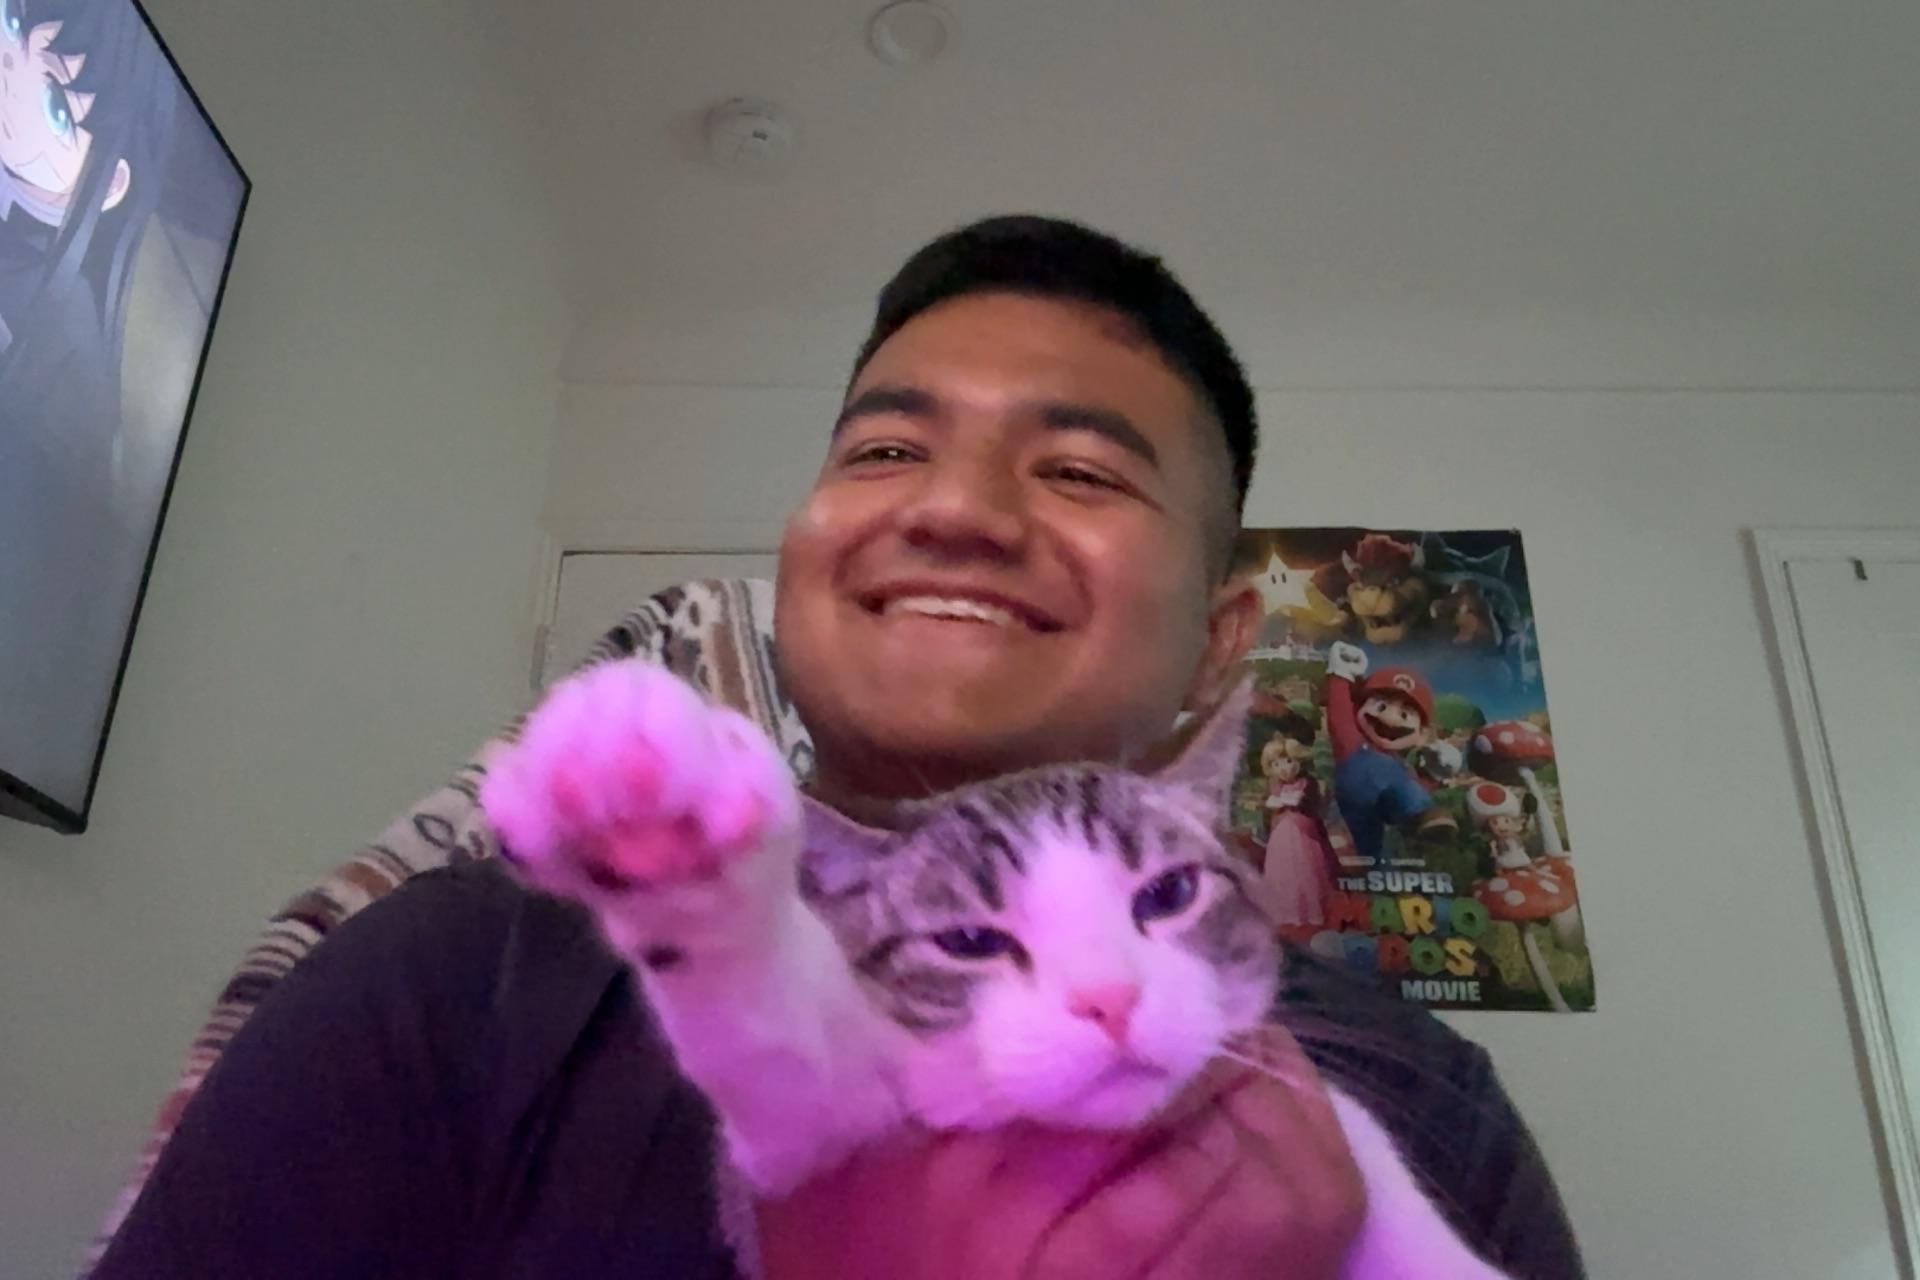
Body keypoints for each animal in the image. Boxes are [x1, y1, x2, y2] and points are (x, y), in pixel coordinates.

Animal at [479, 660, 1511, 1279]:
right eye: (970, 943)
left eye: (1169, 892)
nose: (1109, 1000)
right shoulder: (803, 1150)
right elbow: (783, 1043)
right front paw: (667, 831)